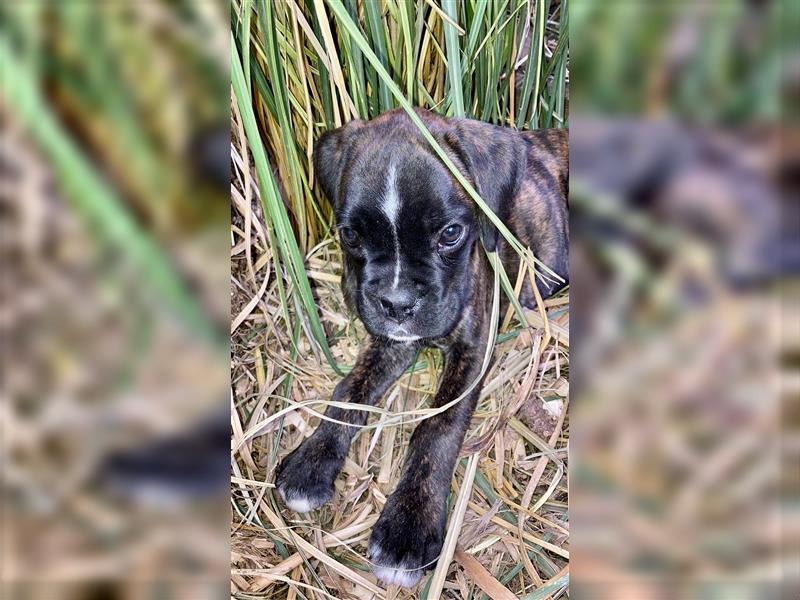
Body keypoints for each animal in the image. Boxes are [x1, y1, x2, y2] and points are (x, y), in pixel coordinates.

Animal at [276, 106, 568, 584]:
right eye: (351, 235)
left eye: (450, 233)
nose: (396, 303)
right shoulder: (391, 342)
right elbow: (350, 390)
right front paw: (311, 461)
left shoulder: (472, 349)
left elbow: (437, 426)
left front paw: (409, 525)